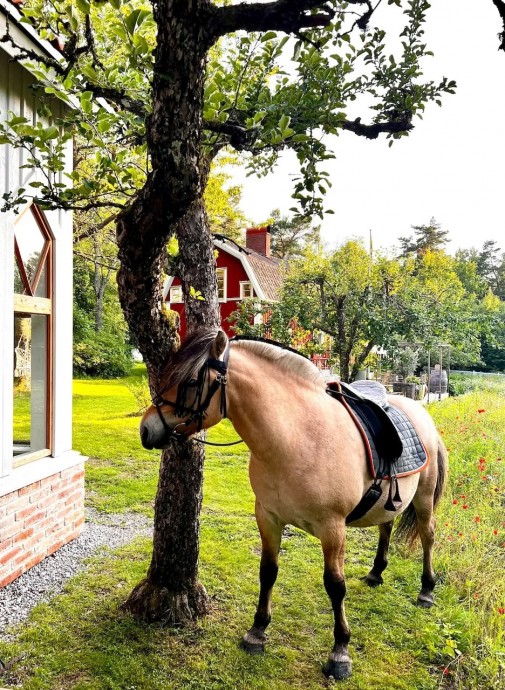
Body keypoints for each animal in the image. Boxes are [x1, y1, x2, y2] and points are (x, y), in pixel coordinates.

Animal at [140, 328, 446, 676]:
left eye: (190, 382)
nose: (146, 429)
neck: (297, 438)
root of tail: (419, 409)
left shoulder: (333, 528)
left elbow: (335, 585)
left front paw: (340, 651)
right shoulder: (268, 517)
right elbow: (268, 571)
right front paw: (257, 631)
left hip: (423, 498)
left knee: (428, 535)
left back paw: (426, 590)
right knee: (386, 527)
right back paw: (375, 573)